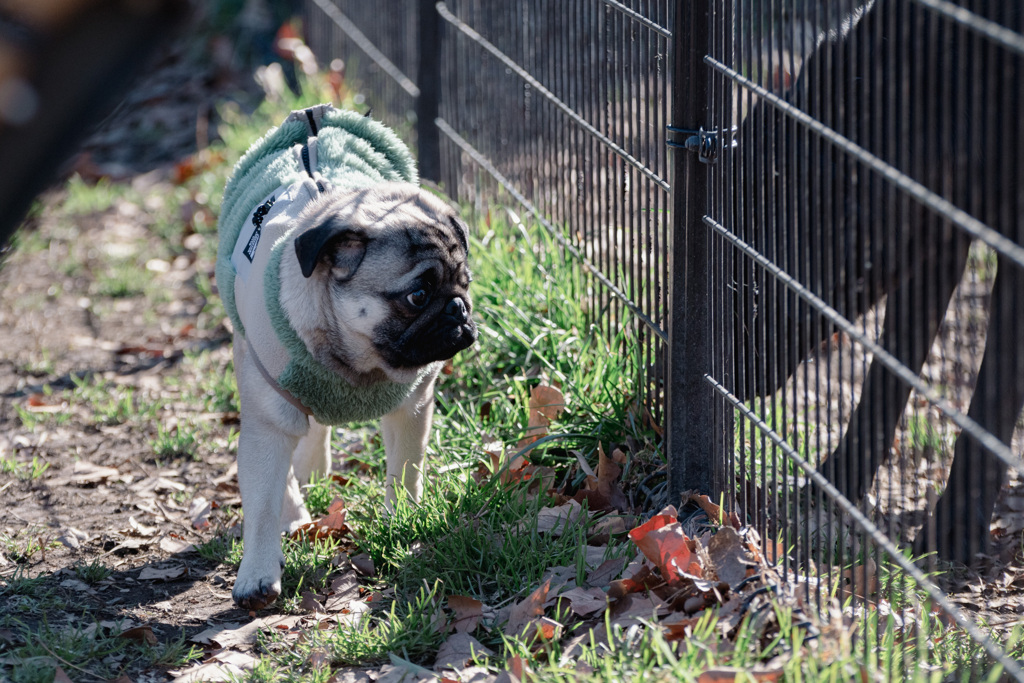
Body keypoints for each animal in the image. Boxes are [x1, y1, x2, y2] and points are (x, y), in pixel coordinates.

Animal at [220, 107, 475, 610]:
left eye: (465, 282)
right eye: (418, 296)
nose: (458, 309)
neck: (355, 363)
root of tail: (311, 119)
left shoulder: (411, 407)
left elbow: (405, 471)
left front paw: (402, 519)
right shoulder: (267, 425)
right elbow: (260, 505)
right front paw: (258, 573)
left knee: (318, 431)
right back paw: (296, 509)